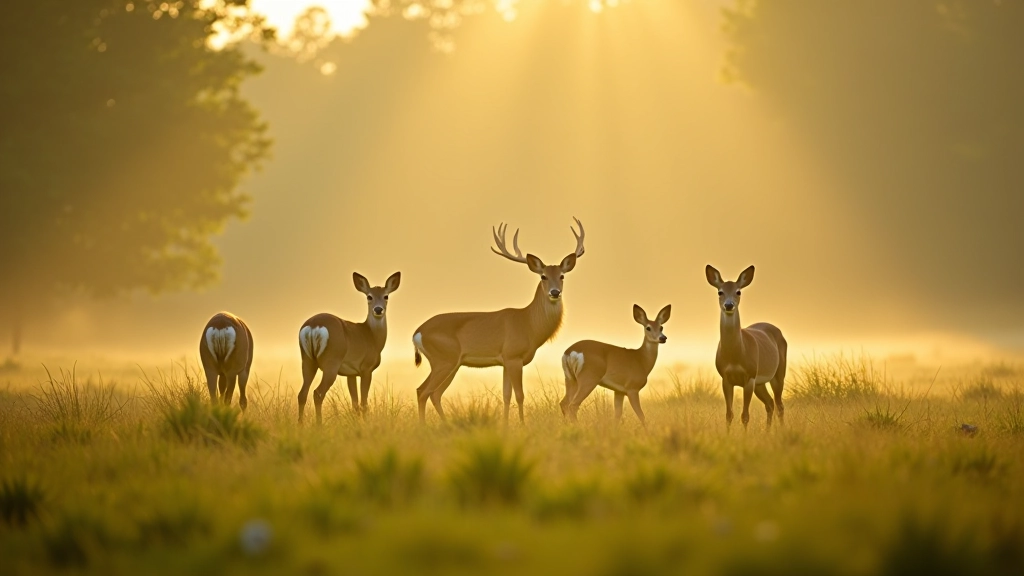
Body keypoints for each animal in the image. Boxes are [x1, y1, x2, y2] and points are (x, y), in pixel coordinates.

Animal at [297, 272, 401, 424]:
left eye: (386, 296)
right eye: (369, 296)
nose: (378, 309)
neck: (372, 337)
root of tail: (314, 325)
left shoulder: (350, 373)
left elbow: (355, 404)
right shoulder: (366, 368)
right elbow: (363, 403)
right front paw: (366, 424)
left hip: (307, 360)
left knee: (302, 394)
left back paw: (300, 425)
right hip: (331, 361)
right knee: (318, 393)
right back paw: (319, 425)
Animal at [412, 218, 586, 425]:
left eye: (562, 275)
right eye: (543, 276)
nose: (555, 292)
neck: (529, 324)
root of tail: (417, 332)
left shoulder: (504, 361)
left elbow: (506, 395)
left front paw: (505, 426)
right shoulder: (513, 356)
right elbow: (520, 395)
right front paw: (522, 425)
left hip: (451, 363)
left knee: (434, 393)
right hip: (443, 359)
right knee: (423, 391)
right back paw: (424, 426)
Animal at [705, 265, 787, 430]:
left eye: (738, 291)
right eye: (720, 292)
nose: (729, 305)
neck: (735, 355)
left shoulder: (749, 377)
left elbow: (745, 416)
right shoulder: (726, 378)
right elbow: (729, 415)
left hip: (778, 373)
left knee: (779, 405)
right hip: (760, 383)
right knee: (770, 404)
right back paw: (767, 432)